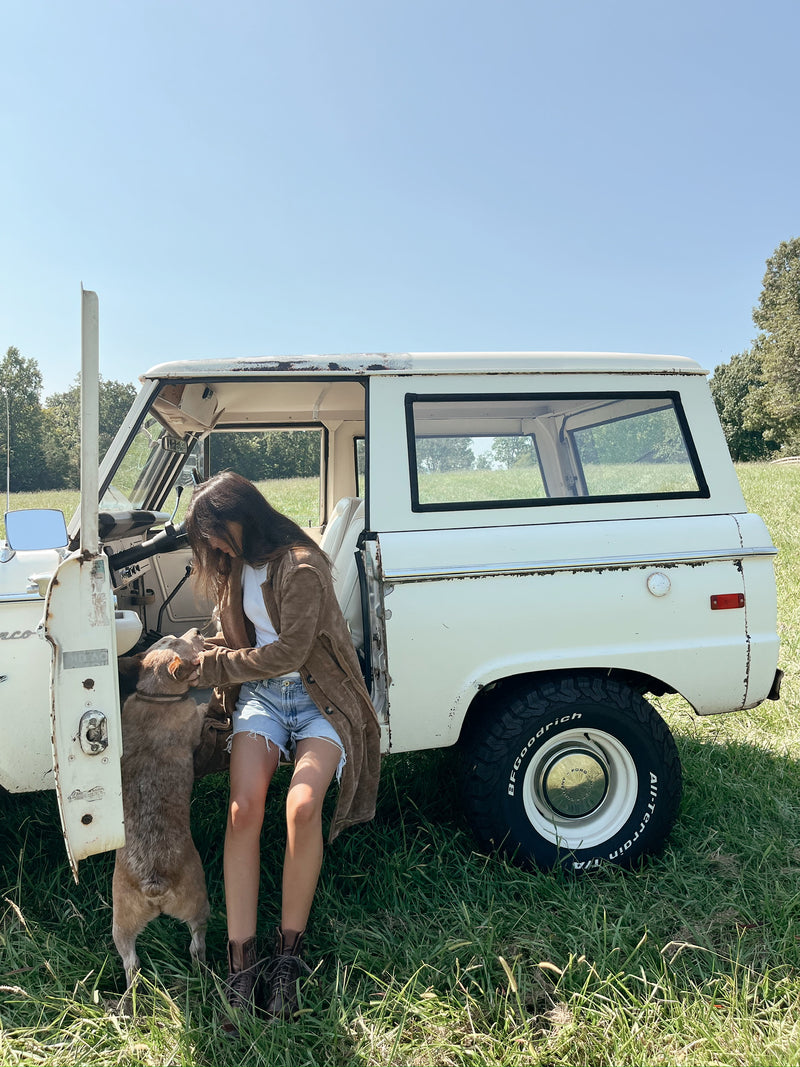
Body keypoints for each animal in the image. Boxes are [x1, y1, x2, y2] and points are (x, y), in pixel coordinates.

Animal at [114, 623, 213, 998]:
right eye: (173, 641)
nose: (197, 628)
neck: (155, 696)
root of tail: (152, 880)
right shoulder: (193, 721)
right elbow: (201, 711)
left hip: (121, 924)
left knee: (131, 963)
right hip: (198, 903)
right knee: (196, 944)